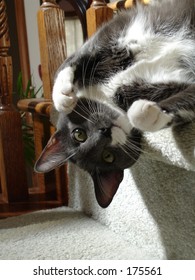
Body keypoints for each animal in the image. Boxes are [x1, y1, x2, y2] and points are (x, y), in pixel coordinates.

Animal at [34, 0, 195, 208]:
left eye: (79, 134)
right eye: (108, 156)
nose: (105, 131)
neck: (110, 92)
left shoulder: (109, 34)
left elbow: (70, 61)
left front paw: (63, 98)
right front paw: (150, 112)